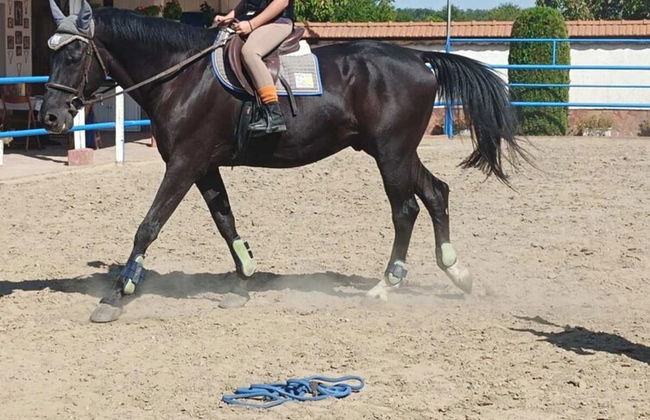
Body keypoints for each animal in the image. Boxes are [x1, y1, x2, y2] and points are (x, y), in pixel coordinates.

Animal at [40, 1, 526, 323]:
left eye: (74, 55)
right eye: (51, 53)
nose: (50, 117)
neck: (183, 75)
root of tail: (417, 57)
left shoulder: (183, 163)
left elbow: (149, 224)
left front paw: (118, 294)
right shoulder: (204, 166)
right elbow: (226, 222)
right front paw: (244, 280)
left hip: (391, 153)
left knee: (405, 209)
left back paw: (386, 286)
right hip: (396, 151)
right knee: (435, 193)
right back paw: (458, 274)